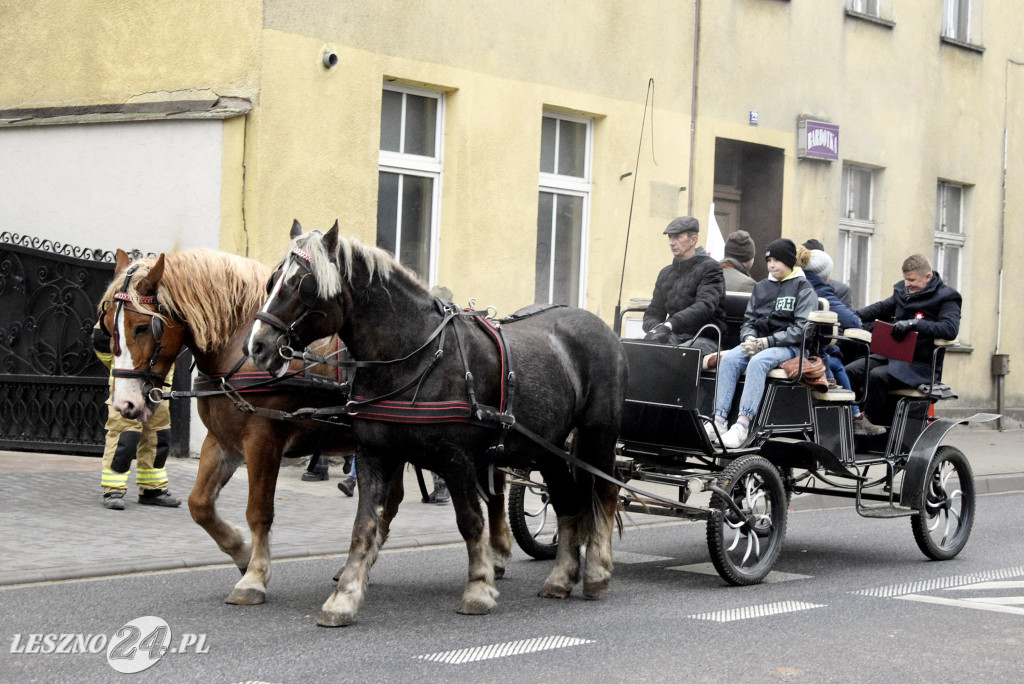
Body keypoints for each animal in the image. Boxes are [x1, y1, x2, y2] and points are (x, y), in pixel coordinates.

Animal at [99, 244, 512, 602]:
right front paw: (241, 552)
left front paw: (255, 576)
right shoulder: (222, 442)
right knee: (394, 502)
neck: (239, 351)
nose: (125, 403)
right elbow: (200, 505)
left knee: (495, 490)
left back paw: (498, 552)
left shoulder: (263, 440)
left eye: (142, 327)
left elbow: (259, 511)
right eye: (107, 327)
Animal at [249, 223, 630, 626]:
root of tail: (601, 328)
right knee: (567, 503)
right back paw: (560, 578)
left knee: (605, 492)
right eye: (274, 280)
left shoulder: (456, 459)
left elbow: (470, 522)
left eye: (303, 284)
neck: (413, 357)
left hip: (597, 436)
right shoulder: (373, 454)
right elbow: (364, 526)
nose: (256, 346)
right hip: (549, 448)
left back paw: (596, 572)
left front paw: (479, 588)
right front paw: (344, 597)